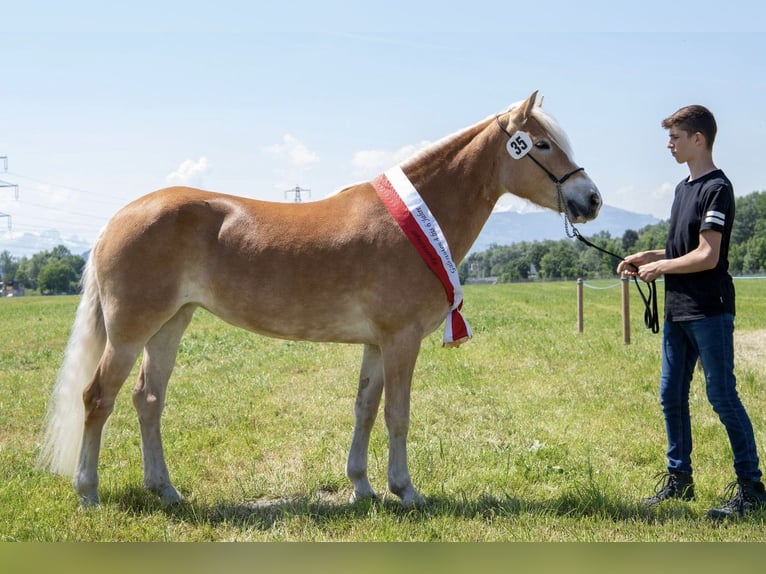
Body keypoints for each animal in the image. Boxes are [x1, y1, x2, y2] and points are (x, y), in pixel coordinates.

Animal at [40, 92, 608, 510]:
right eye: (541, 144)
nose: (592, 199)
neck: (415, 221)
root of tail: (117, 218)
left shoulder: (377, 344)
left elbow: (365, 408)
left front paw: (362, 486)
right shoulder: (401, 340)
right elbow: (397, 414)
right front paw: (406, 491)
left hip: (169, 326)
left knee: (148, 400)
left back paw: (166, 490)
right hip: (129, 332)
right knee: (97, 398)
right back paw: (88, 493)